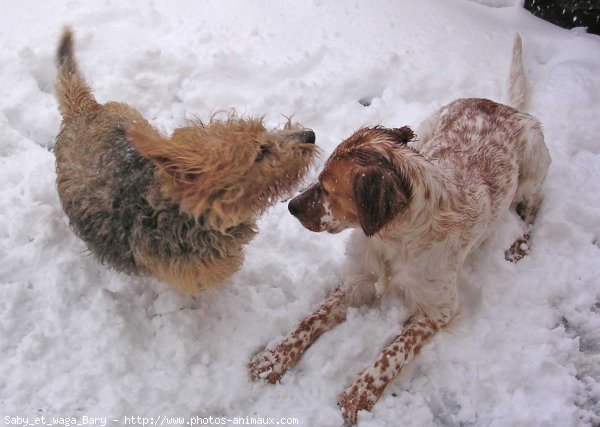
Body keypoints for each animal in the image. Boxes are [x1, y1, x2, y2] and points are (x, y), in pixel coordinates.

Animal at [250, 36, 552, 424]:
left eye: (328, 190)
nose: (290, 206)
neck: (390, 240)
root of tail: (505, 106)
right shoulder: (358, 280)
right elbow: (309, 321)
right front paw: (272, 358)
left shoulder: (439, 309)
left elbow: (393, 352)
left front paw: (357, 396)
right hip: (427, 127)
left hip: (532, 165)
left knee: (534, 205)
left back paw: (519, 245)